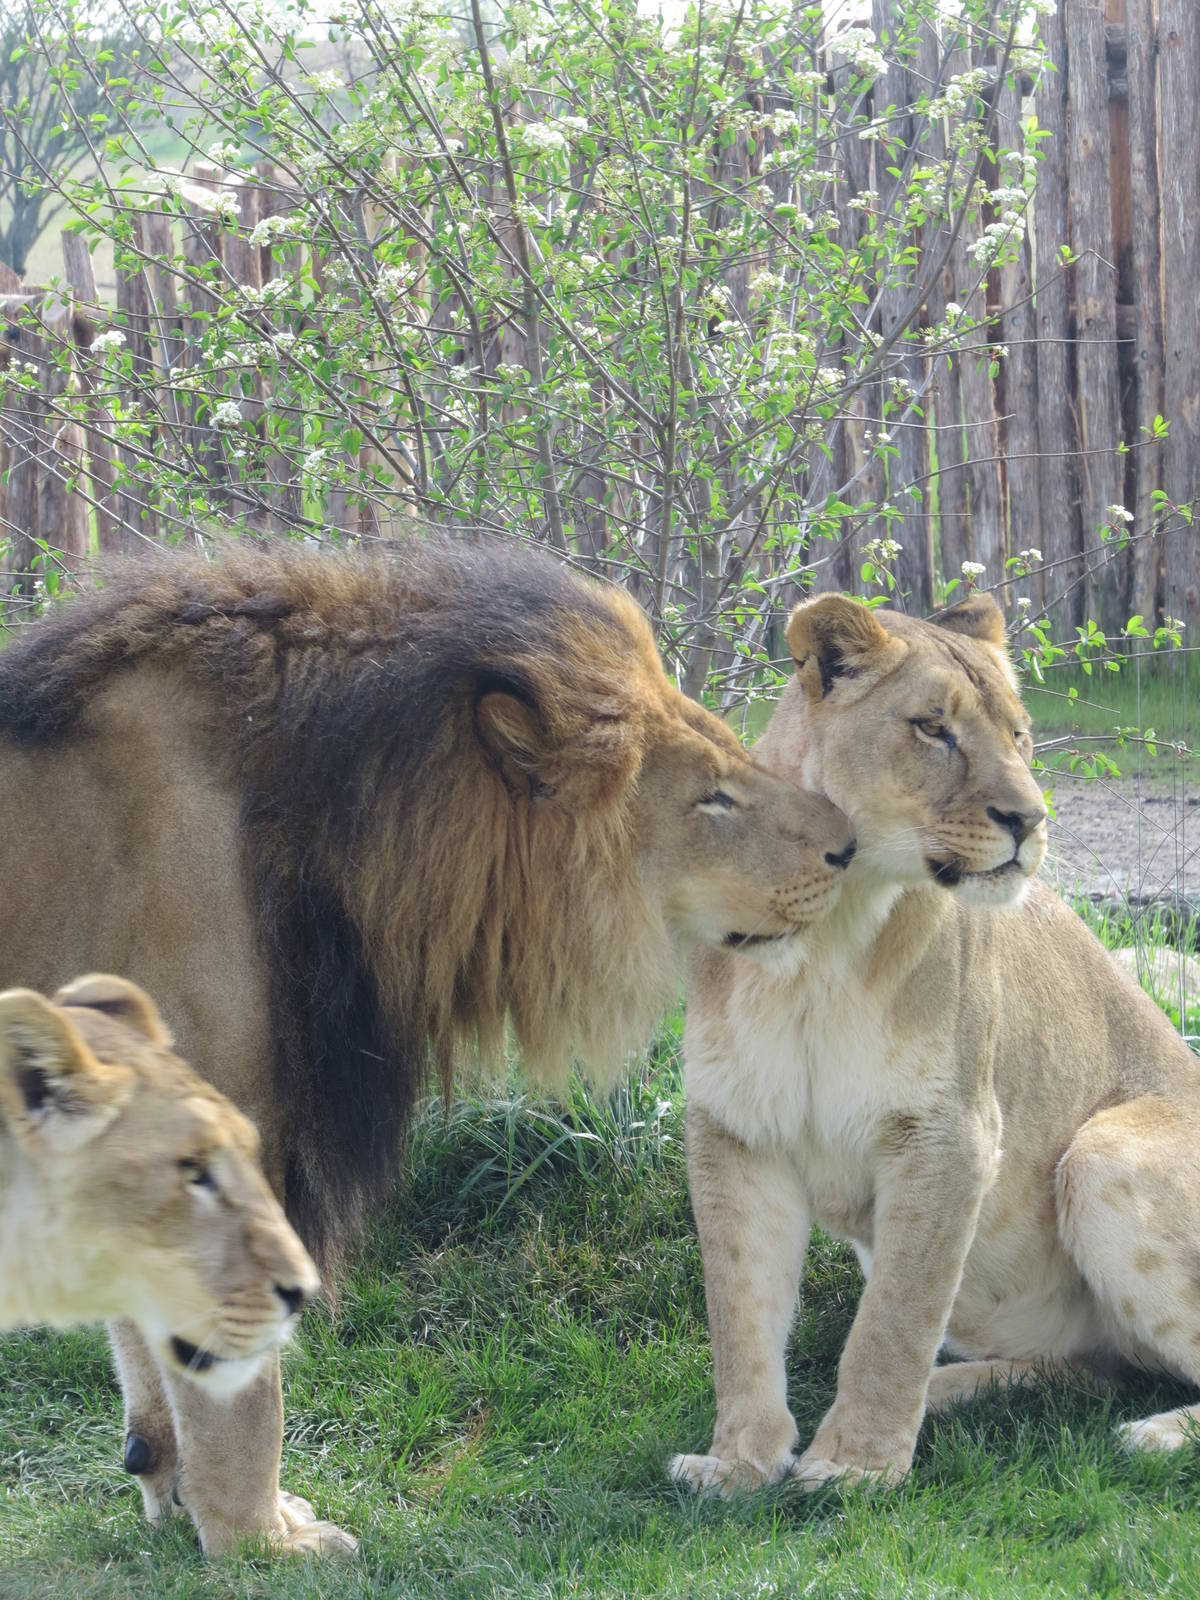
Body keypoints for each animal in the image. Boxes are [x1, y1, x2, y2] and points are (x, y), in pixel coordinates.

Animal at [671, 591, 1200, 1496]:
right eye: (933, 729)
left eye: (1020, 735)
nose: (1031, 819)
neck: (825, 939)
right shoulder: (734, 1131)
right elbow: (738, 1315)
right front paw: (739, 1462)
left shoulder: (951, 1132)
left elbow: (895, 1318)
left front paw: (855, 1466)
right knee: (1100, 1367)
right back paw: (954, 1393)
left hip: (1100, 1154)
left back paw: (1155, 1436)